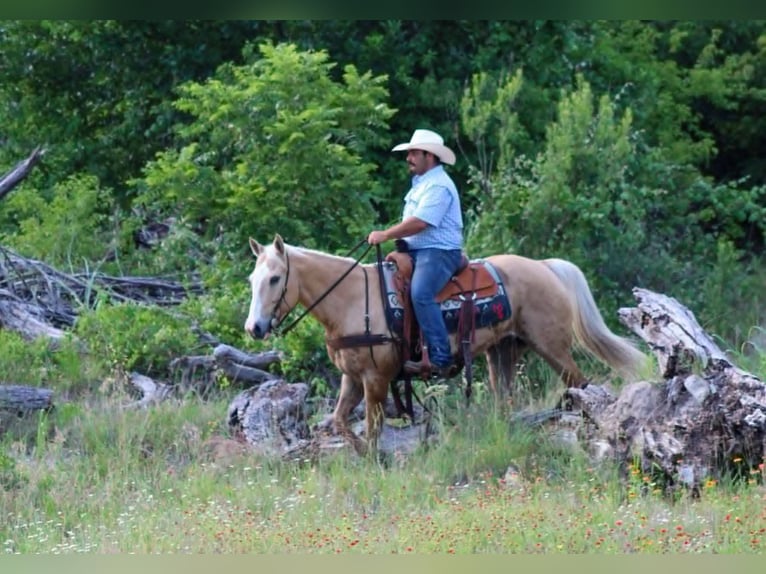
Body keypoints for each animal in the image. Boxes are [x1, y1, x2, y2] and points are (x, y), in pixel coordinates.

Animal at [244, 234, 646, 456]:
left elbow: (372, 429)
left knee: (580, 386)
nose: (254, 328)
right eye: (252, 279)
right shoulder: (352, 377)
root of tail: (545, 266)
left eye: (276, 278)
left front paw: (375, 461)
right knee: (506, 400)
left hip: (553, 347)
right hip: (503, 351)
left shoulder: (376, 378)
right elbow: (341, 422)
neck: (354, 300)